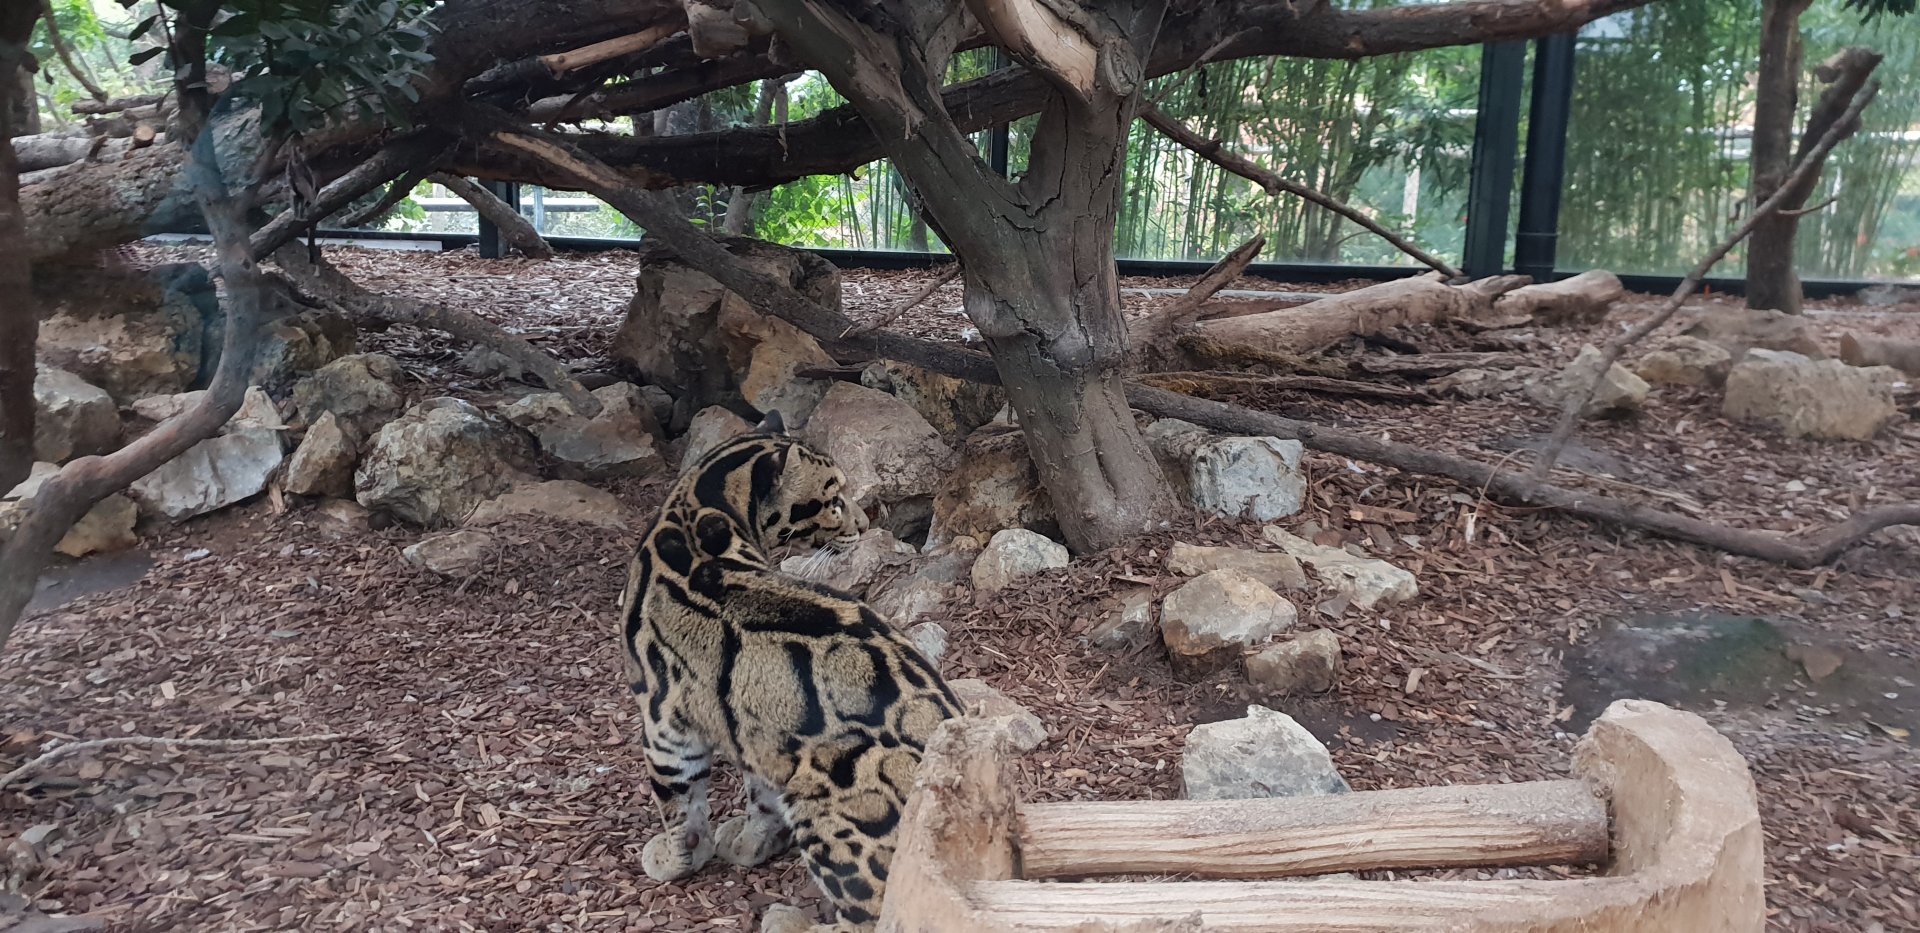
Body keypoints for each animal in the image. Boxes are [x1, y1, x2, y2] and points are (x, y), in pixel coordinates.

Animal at [617, 410, 960, 932]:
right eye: (834, 499)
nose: (865, 523)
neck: (698, 511)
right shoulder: (757, 728)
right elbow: (757, 792)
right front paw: (753, 839)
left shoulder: (664, 725)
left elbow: (680, 810)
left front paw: (675, 859)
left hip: (828, 807)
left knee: (875, 917)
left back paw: (789, 920)